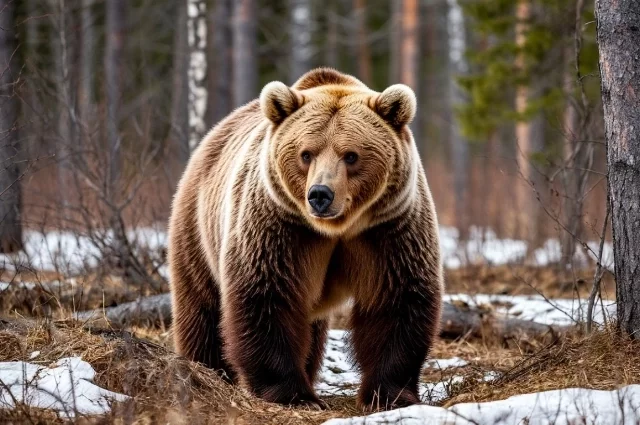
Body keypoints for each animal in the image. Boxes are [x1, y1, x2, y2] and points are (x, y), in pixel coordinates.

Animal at [167, 68, 443, 411]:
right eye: (306, 153)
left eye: (350, 155)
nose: (320, 195)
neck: (336, 229)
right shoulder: (280, 225)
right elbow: (267, 294)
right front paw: (293, 394)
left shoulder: (389, 227)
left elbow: (396, 298)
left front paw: (389, 395)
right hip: (198, 226)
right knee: (201, 305)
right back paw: (204, 371)